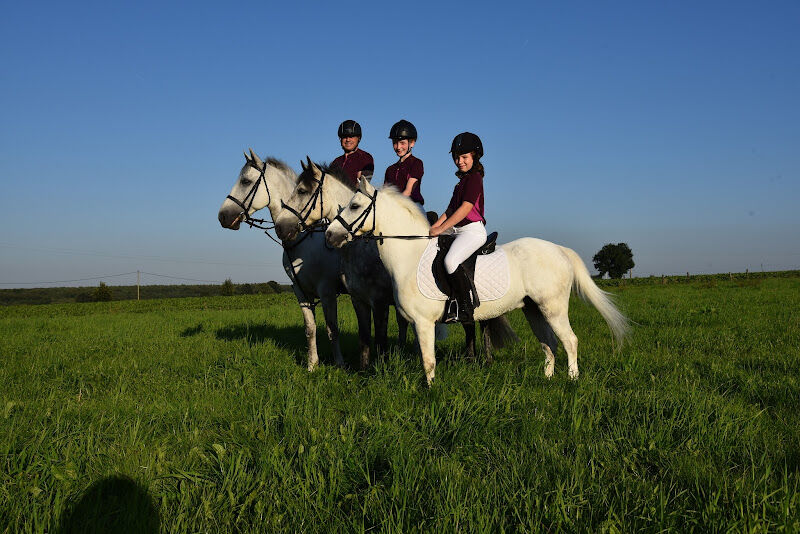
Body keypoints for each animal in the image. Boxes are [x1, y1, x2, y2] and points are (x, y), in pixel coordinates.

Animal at [219, 149, 346, 370]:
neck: (305, 241)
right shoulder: (301, 292)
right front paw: (312, 365)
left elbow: (333, 329)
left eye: (245, 181)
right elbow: (310, 328)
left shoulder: (327, 292)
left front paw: (339, 363)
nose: (222, 216)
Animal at [326, 179, 632, 386]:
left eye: (355, 206)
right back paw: (547, 379)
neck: (411, 255)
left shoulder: (424, 322)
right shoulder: (416, 323)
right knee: (549, 344)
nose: (329, 235)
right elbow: (423, 356)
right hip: (533, 310)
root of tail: (559, 249)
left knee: (569, 340)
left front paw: (431, 391)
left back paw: (571, 380)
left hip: (553, 308)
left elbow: (428, 360)